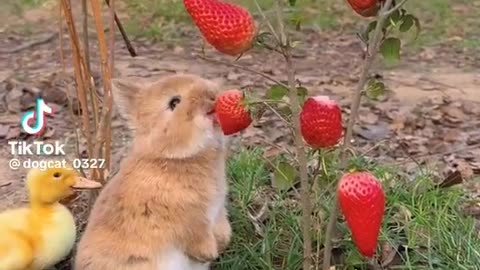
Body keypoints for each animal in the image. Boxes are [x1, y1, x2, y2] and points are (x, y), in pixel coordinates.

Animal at [74, 74, 232, 270]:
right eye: (174, 102)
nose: (212, 95)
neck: (171, 158)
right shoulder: (189, 220)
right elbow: (196, 236)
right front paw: (209, 253)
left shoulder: (217, 210)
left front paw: (222, 242)